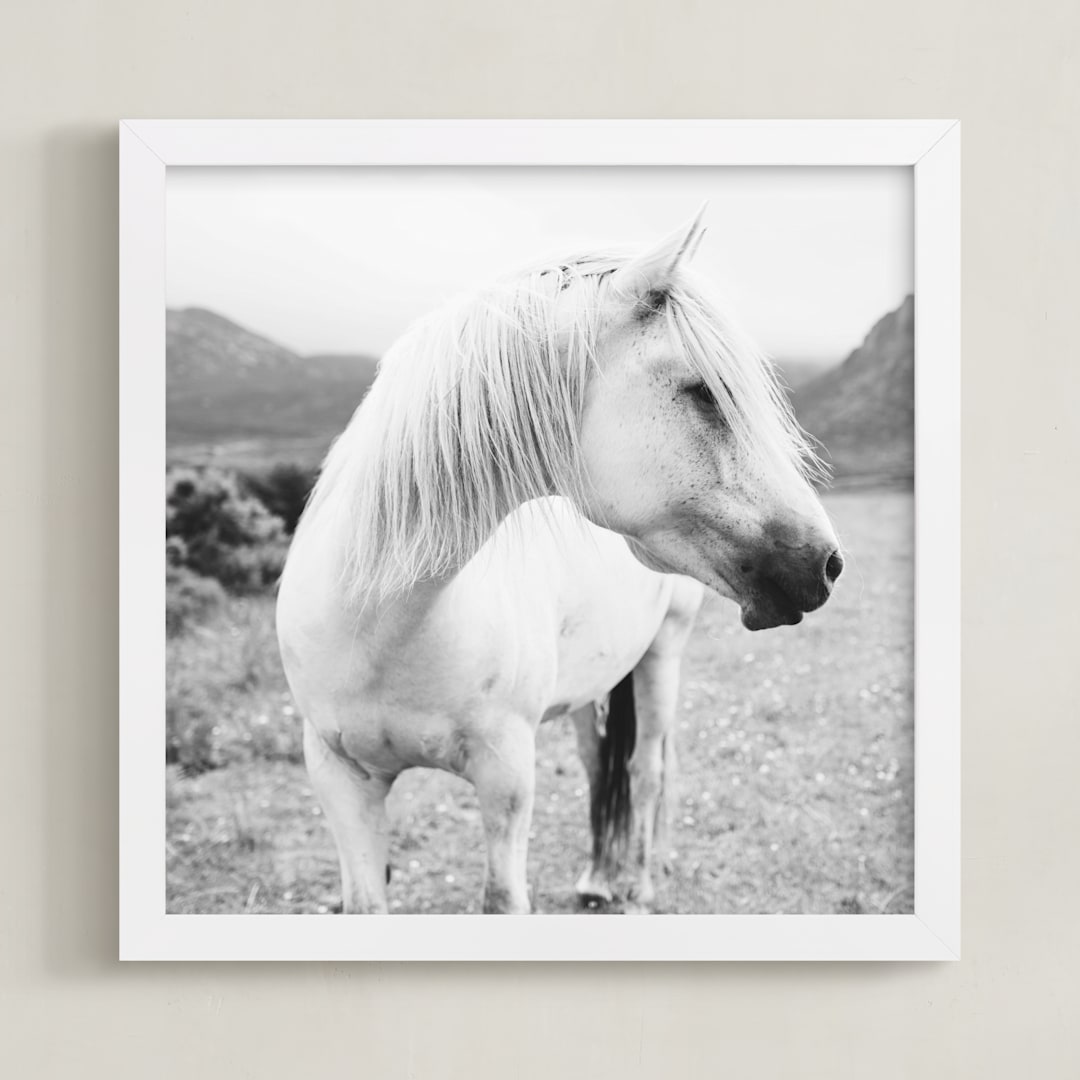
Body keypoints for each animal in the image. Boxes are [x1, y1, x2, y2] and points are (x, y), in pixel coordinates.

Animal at [276, 209, 843, 914]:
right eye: (703, 391)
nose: (826, 563)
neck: (379, 626)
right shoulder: (339, 778)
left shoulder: (505, 773)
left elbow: (503, 898)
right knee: (603, 763)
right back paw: (599, 876)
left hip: (663, 653)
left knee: (647, 767)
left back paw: (642, 881)